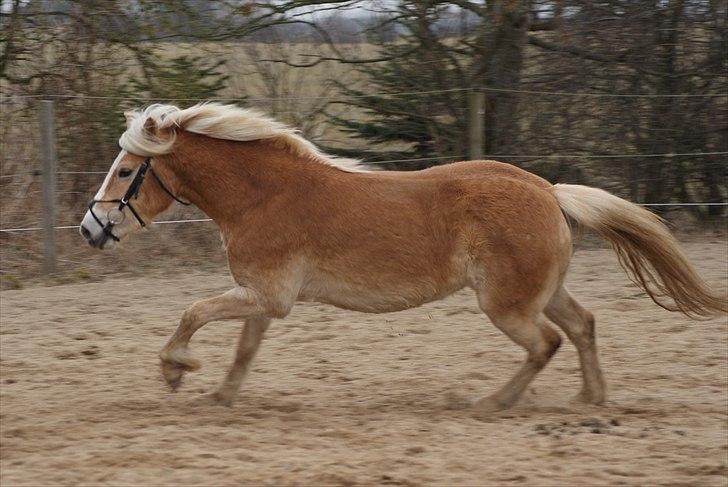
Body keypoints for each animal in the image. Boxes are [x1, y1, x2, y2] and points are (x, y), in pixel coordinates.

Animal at [79, 103, 728, 416]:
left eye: (126, 172)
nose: (90, 229)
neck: (264, 196)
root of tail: (547, 190)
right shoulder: (264, 298)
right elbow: (243, 350)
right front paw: (219, 399)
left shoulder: (267, 295)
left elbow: (192, 312)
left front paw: (175, 370)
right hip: (542, 291)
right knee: (584, 326)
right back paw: (589, 401)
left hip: (506, 305)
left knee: (545, 344)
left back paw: (491, 404)